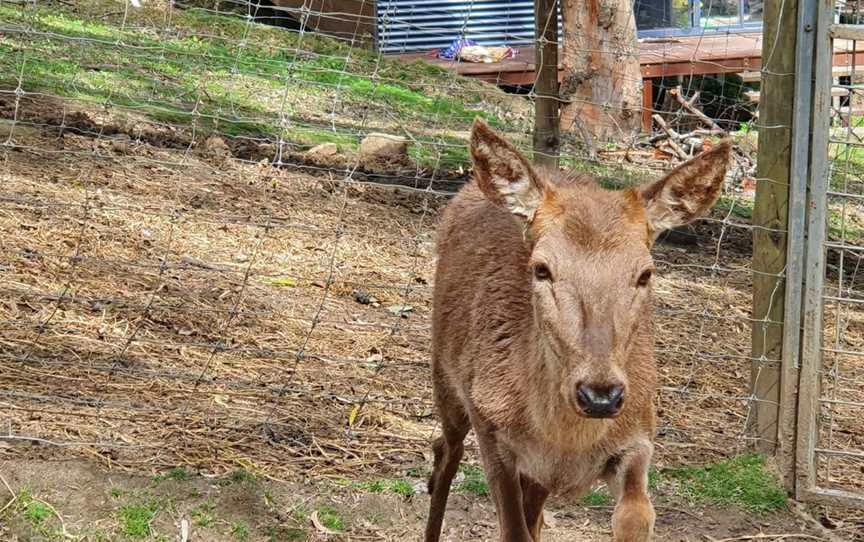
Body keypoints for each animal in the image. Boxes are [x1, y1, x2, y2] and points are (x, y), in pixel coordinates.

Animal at [424, 120, 728, 542]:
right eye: (541, 268)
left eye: (645, 273)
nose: (599, 396)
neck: (563, 440)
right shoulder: (492, 430)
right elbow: (514, 531)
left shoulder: (638, 435)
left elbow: (636, 516)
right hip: (446, 376)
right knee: (444, 455)